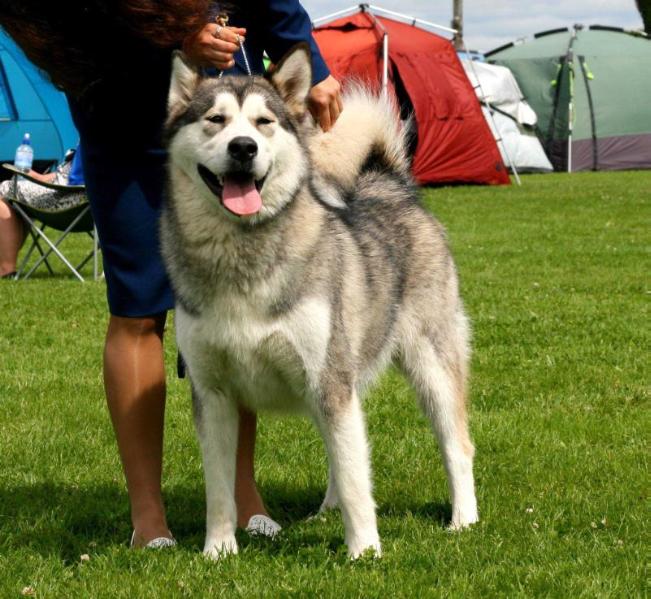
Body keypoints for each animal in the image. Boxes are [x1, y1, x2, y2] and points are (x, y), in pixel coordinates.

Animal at [163, 44, 478, 560]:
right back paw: (325, 511)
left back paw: (463, 520)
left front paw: (365, 552)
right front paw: (218, 551)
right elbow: (219, 488)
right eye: (215, 119)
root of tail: (390, 184)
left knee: (456, 446)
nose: (243, 148)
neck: (243, 258)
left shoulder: (330, 382)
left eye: (264, 122)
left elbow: (355, 479)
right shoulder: (213, 393)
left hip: (428, 366)